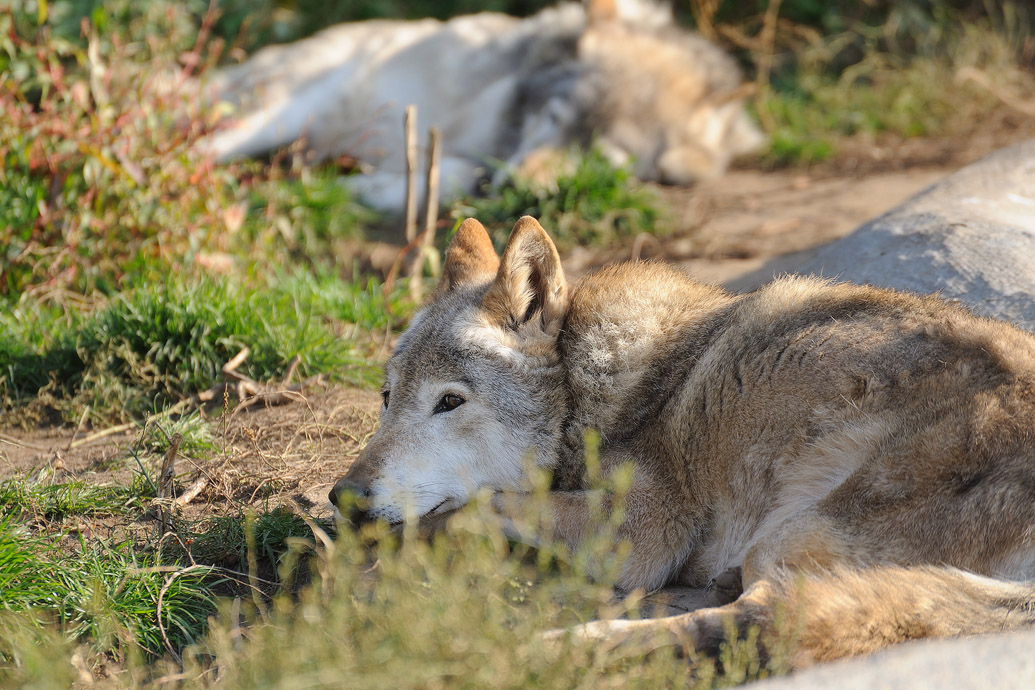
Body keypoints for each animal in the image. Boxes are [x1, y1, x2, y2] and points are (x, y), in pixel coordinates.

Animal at [199, 0, 761, 212]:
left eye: (602, 157)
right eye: (551, 120)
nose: (512, 188)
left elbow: (456, 175)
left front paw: (365, 189)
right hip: (273, 113)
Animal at [329, 217, 1035, 670]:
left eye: (449, 402)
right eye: (387, 397)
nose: (344, 496)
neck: (590, 386)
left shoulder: (647, 528)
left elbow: (473, 508)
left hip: (790, 533)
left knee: (770, 621)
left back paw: (566, 645)